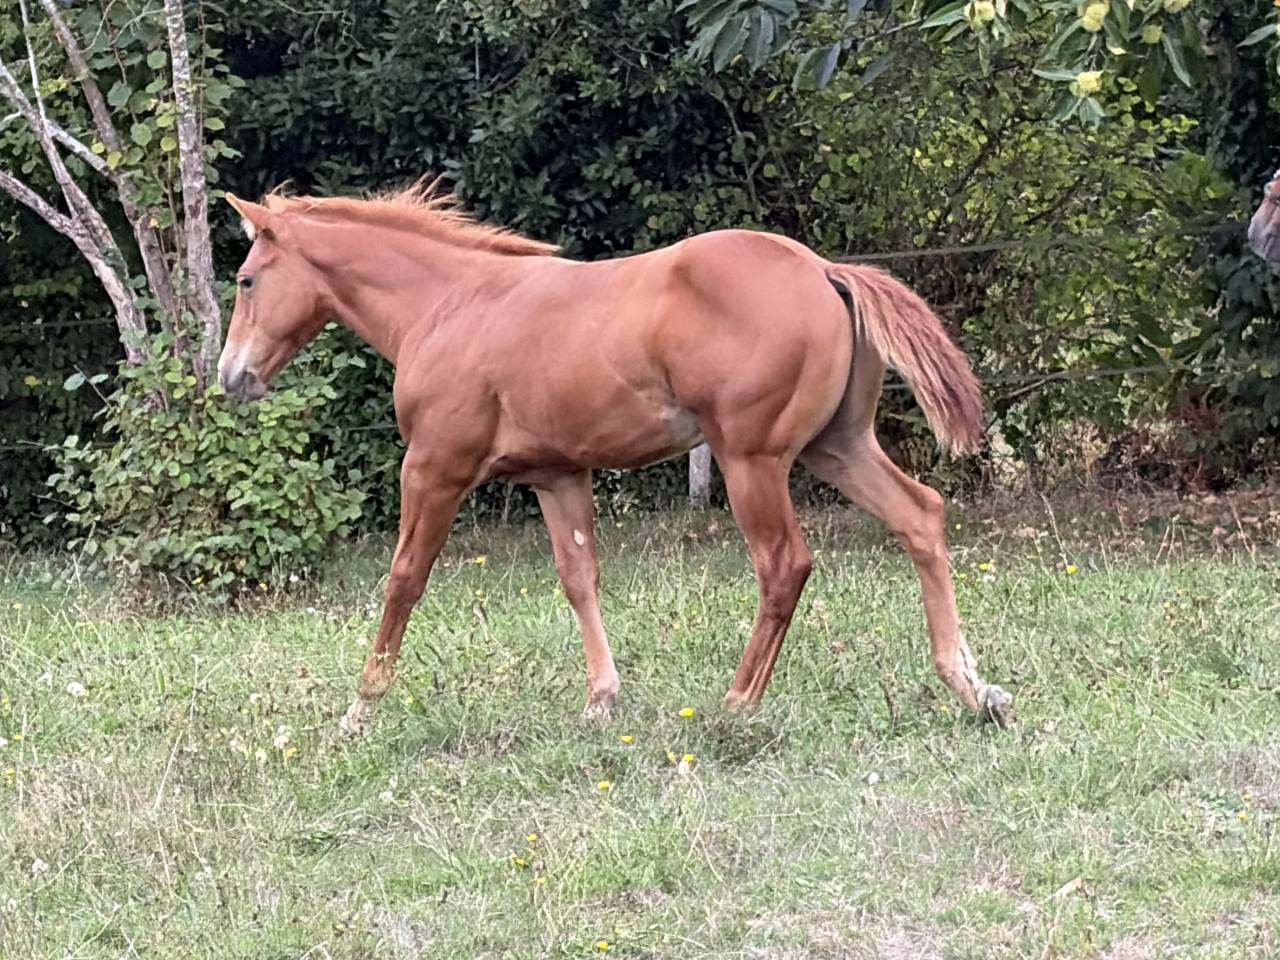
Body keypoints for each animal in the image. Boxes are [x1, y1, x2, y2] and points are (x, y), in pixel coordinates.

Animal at [217, 181, 1013, 736]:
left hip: (751, 459)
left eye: (247, 279)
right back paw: (973, 688)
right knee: (921, 517)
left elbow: (404, 580)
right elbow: (579, 578)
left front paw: (360, 709)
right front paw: (600, 701)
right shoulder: (557, 474)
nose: (231, 376)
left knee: (785, 564)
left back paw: (737, 702)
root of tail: (822, 269)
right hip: (836, 446)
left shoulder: (436, 467)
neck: (448, 305)